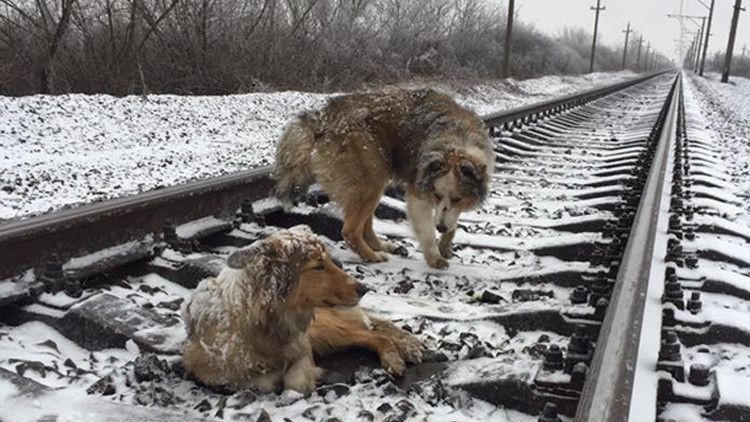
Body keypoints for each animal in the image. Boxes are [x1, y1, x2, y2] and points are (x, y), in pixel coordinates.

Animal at [181, 226, 424, 394]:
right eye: (318, 266)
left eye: (329, 261)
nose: (364, 288)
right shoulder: (208, 370)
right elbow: (260, 382)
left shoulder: (303, 345)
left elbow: (294, 382)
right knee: (373, 332)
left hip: (326, 329)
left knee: (376, 335)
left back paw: (397, 356)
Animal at [274, 88, 494, 268]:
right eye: (436, 195)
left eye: (458, 198)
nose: (440, 227)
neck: (457, 142)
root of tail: (323, 116)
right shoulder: (418, 191)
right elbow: (427, 230)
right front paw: (434, 256)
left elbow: (451, 220)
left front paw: (446, 244)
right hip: (371, 177)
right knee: (350, 230)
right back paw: (371, 256)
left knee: (366, 225)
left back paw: (383, 246)